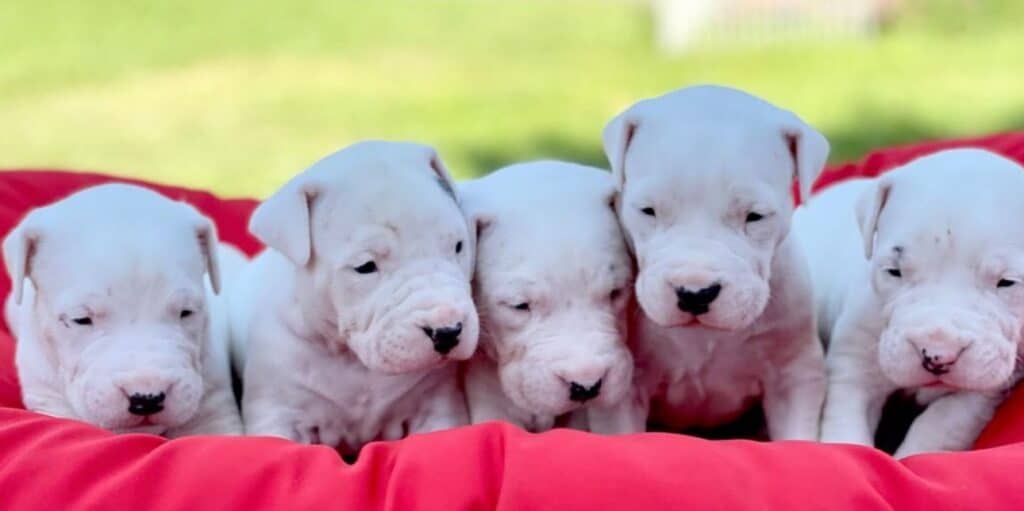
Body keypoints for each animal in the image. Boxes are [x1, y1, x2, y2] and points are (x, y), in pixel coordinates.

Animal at [230, 139, 477, 452]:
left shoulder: (435, 403)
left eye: (458, 246)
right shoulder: (278, 410)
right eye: (365, 266)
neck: (351, 359)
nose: (447, 331)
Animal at [794, 149, 1024, 458]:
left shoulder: (985, 385)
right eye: (894, 271)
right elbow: (846, 423)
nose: (938, 354)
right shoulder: (853, 365)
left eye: (1007, 282)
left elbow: (941, 424)